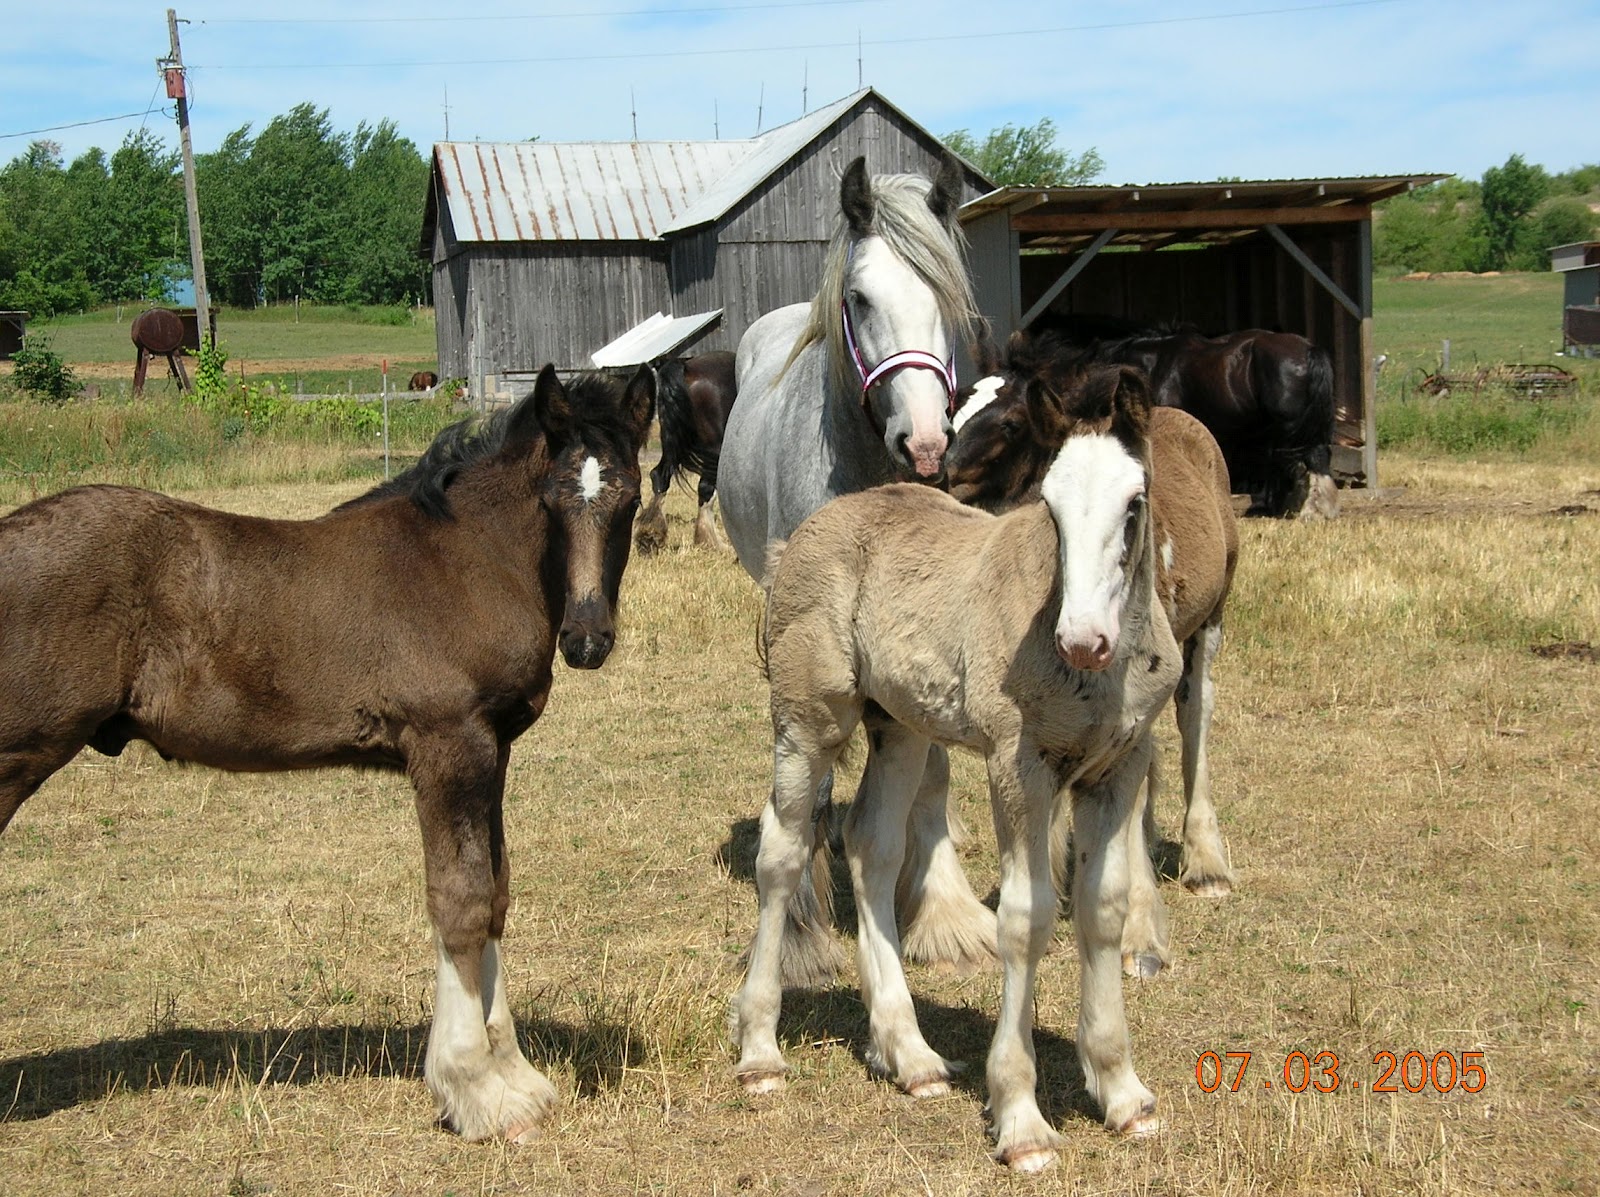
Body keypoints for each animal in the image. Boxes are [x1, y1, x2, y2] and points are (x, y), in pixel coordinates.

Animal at [0, 364, 655, 1142]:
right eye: (553, 498)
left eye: (631, 497)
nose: (586, 640)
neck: (466, 558)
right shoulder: (449, 744)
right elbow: (459, 901)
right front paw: (476, 1091)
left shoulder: (491, 752)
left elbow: (495, 893)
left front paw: (515, 1082)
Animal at [633, 350, 738, 554]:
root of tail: (686, 367)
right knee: (705, 488)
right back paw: (713, 542)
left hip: (671, 442)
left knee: (659, 476)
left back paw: (649, 533)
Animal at [734, 364, 1187, 1170]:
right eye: (1050, 507)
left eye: (1134, 504)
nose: (1082, 640)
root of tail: (803, 533)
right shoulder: (1020, 768)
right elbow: (1026, 920)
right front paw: (1021, 1118)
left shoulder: (1118, 767)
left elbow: (1102, 908)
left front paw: (1123, 1092)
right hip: (809, 718)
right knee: (782, 853)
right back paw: (759, 1051)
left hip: (900, 727)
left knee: (872, 847)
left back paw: (909, 1054)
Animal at [948, 340, 1238, 978]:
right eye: (955, 408)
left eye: (1010, 422)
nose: (940, 470)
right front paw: (1056, 877)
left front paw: (1141, 932)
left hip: (1209, 624)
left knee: (1195, 718)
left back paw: (1205, 861)